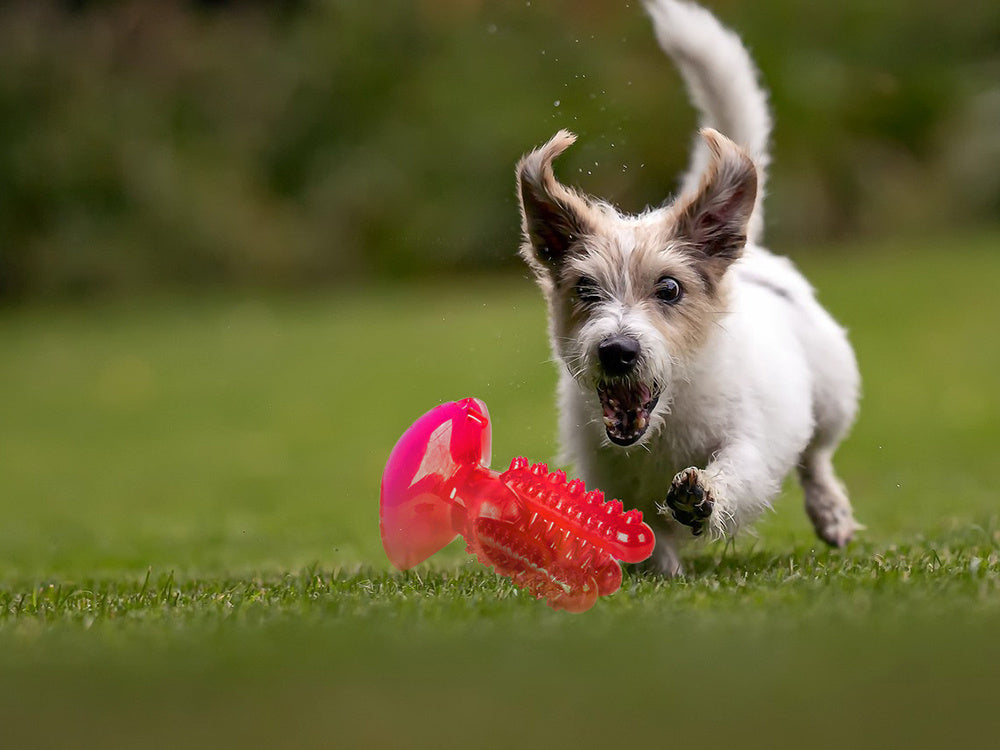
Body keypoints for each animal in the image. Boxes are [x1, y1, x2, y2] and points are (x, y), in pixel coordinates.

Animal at [516, 0, 860, 576]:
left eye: (670, 289)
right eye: (585, 289)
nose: (617, 350)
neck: (667, 419)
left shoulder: (750, 441)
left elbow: (737, 471)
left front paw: (704, 497)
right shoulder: (606, 473)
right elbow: (644, 534)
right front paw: (661, 574)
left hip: (833, 397)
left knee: (816, 457)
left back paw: (830, 510)